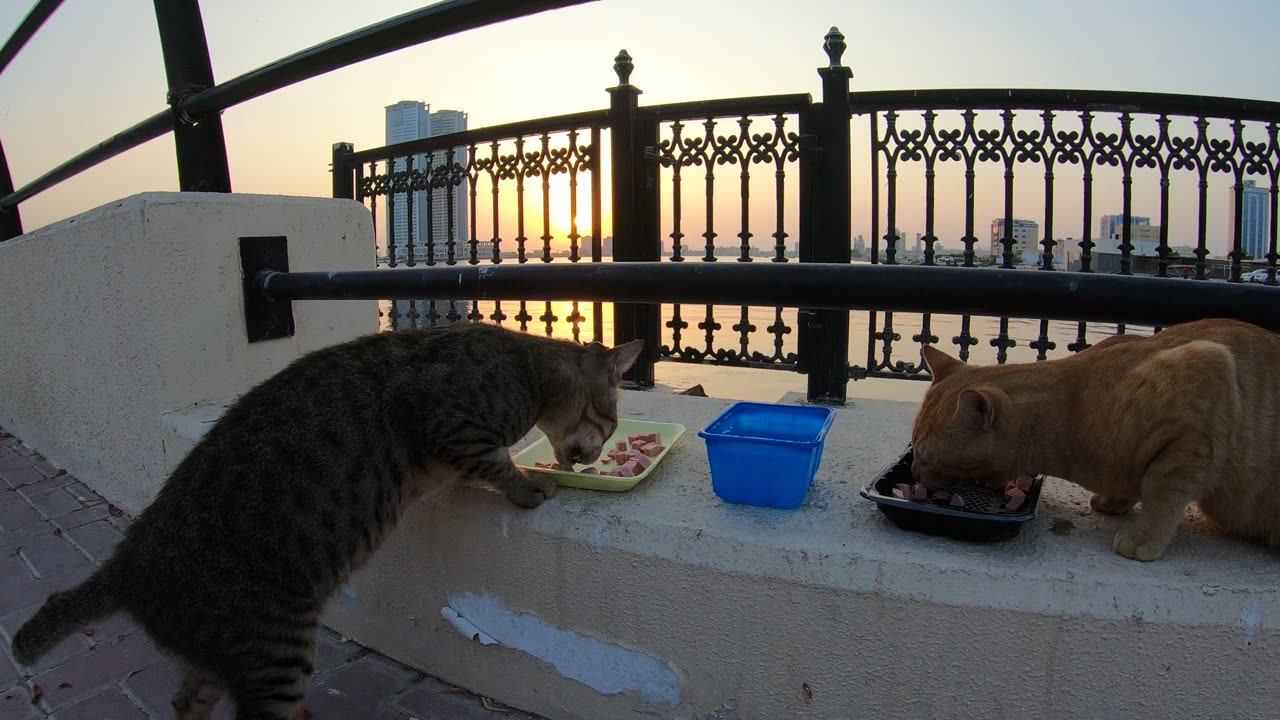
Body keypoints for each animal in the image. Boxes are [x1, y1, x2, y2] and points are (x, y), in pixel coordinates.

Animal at [12, 324, 640, 717]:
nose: (599, 452)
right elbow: (494, 462)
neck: (525, 367)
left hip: (223, 654)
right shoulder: (448, 421)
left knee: (186, 704)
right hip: (275, 647)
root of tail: (129, 559)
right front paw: (531, 485)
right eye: (610, 420)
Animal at [911, 317, 1280, 561]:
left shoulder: (1205, 379)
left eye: (926, 457)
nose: (913, 472)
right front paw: (1116, 498)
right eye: (912, 450)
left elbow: (1163, 494)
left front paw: (1145, 536)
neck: (1071, 416)